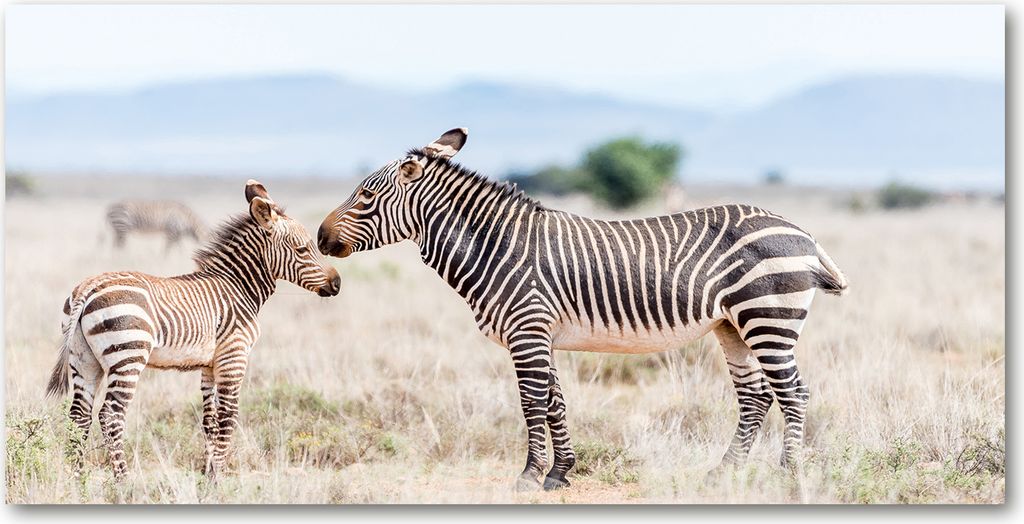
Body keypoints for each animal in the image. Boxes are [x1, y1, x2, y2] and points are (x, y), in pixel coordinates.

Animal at [47, 180, 342, 479]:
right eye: (303, 249)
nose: (337, 283)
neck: (238, 286)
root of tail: (88, 287)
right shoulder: (234, 358)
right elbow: (227, 418)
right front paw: (220, 477)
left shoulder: (209, 365)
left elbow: (209, 420)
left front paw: (208, 473)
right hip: (128, 355)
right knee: (110, 415)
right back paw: (123, 480)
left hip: (84, 359)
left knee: (79, 416)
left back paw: (78, 479)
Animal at [317, 129, 848, 491]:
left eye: (366, 195)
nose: (320, 239)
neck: (495, 247)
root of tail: (801, 231)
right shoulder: (539, 333)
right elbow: (555, 400)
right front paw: (560, 473)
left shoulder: (527, 327)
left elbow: (532, 402)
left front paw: (529, 476)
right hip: (731, 325)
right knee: (755, 396)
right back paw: (724, 472)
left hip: (768, 318)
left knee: (793, 392)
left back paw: (790, 474)